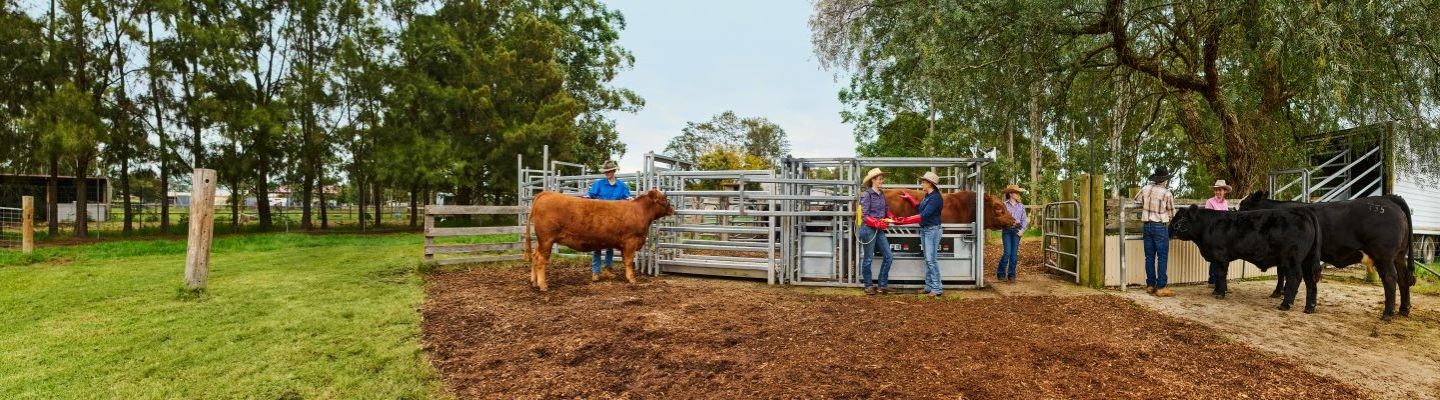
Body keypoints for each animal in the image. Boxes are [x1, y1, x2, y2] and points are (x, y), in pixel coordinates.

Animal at [524, 189, 675, 291]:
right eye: (664, 198)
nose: (673, 209)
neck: (639, 211)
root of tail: (546, 193)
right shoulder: (630, 242)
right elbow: (628, 262)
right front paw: (632, 279)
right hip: (546, 239)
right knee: (541, 260)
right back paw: (543, 285)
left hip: (541, 241)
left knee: (535, 256)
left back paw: (534, 282)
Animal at [1169, 206, 1325, 313]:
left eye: (1180, 219)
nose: (1169, 229)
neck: (1207, 226)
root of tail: (1303, 210)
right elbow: (1220, 275)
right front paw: (1218, 291)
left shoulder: (1220, 257)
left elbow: (1220, 274)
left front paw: (1220, 293)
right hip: (1308, 259)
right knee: (1310, 281)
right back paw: (1309, 308)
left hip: (1292, 259)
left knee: (1295, 278)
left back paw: (1285, 304)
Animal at [1240, 191, 1416, 320]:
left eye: (1244, 205)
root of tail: (1387, 198)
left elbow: (1282, 272)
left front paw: (1278, 292)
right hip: (1399, 256)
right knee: (1403, 278)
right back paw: (1403, 309)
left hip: (1383, 256)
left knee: (1390, 278)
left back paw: (1387, 314)